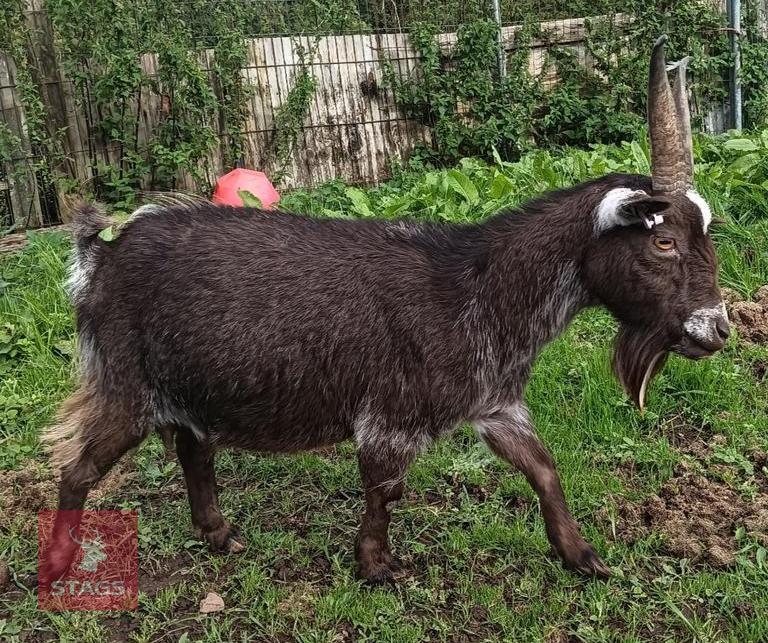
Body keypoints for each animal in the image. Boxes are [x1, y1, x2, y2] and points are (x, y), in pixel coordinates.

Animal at [43, 36, 728, 585]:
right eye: (664, 241)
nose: (717, 329)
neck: (479, 286)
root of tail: (101, 257)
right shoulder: (392, 416)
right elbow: (385, 488)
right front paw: (374, 566)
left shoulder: (493, 404)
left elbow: (543, 467)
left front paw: (581, 556)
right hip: (127, 386)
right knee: (78, 470)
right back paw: (57, 566)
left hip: (189, 388)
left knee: (193, 449)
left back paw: (219, 534)